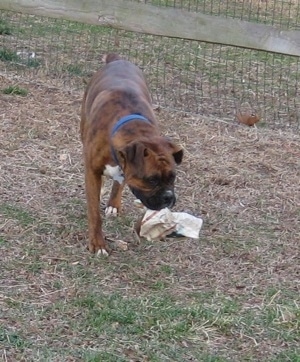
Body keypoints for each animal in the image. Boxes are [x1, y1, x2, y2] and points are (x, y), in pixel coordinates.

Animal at [80, 53, 183, 256]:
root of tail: (118, 59)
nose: (169, 198)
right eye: (151, 180)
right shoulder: (92, 171)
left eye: (173, 177)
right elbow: (94, 212)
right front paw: (98, 243)